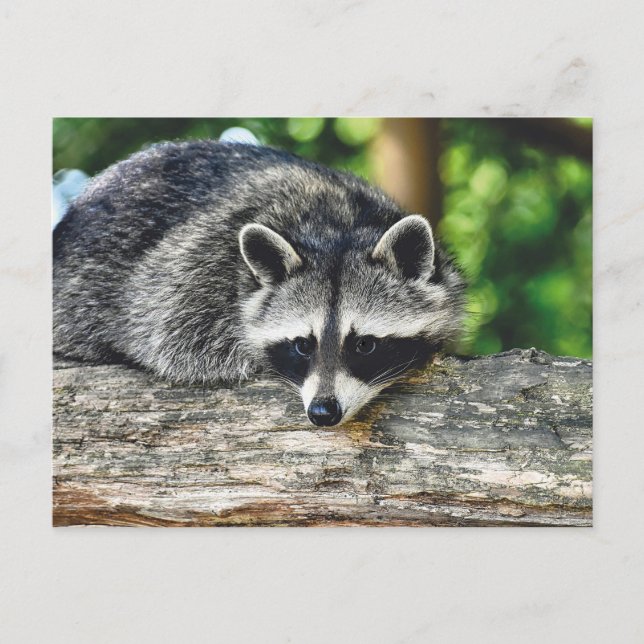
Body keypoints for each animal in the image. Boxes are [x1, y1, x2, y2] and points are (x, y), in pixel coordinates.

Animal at [54, 140, 465, 426]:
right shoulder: (191, 274)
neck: (339, 226)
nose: (323, 412)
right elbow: (171, 341)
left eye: (364, 344)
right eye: (302, 345)